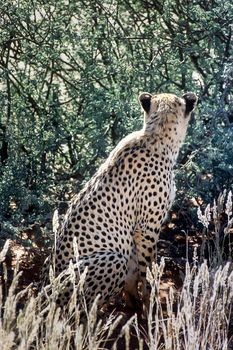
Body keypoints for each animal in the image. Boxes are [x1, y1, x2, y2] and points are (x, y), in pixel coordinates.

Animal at [43, 91, 197, 310]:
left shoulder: (134, 233)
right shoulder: (146, 228)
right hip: (111, 260)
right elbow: (147, 270)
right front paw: (151, 302)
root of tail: (45, 292)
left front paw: (134, 305)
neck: (156, 135)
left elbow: (133, 275)